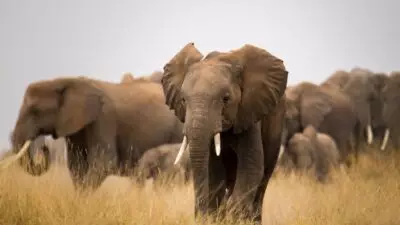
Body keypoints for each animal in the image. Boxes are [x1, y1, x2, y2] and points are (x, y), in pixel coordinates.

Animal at [5, 76, 184, 192]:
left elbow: (103, 163)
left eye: (35, 111)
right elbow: (76, 166)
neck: (66, 81)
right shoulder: (76, 126)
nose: (44, 148)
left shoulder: (104, 119)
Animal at [159, 42, 288, 223]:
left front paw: (233, 217)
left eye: (226, 99)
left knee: (263, 180)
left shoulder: (249, 112)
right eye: (183, 100)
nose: (199, 213)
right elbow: (215, 172)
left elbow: (251, 168)